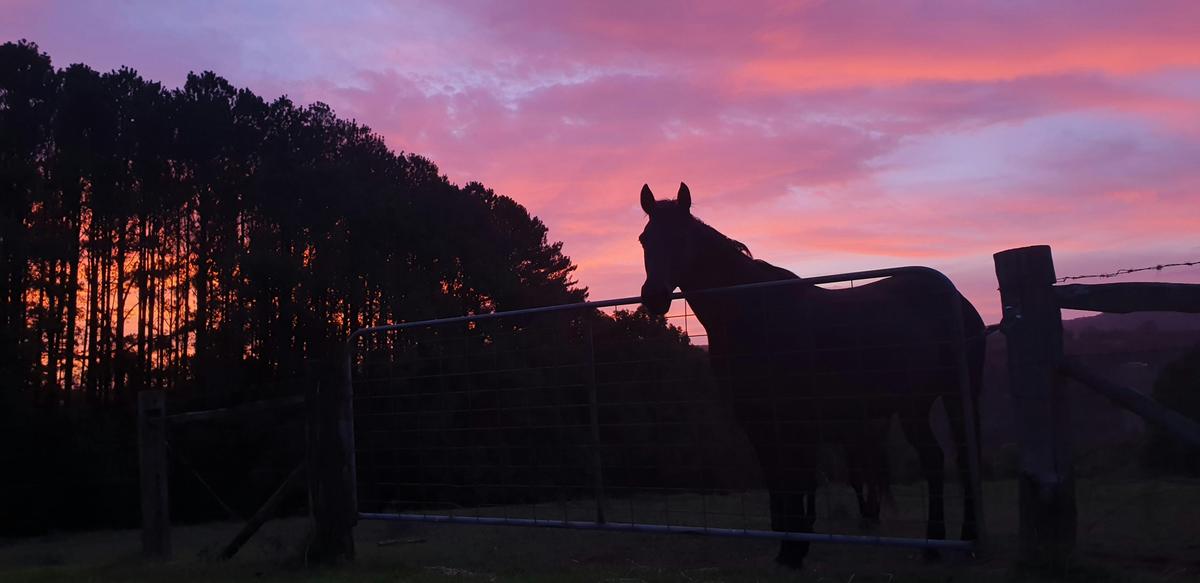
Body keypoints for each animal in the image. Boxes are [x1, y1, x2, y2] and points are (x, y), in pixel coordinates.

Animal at [637, 183, 985, 568]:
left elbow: (796, 479)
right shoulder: (754, 417)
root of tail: (958, 300)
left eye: (682, 237)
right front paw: (787, 548)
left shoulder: (794, 417)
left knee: (958, 458)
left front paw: (797, 547)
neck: (754, 313)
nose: (654, 297)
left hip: (953, 396)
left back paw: (954, 542)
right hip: (915, 406)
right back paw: (940, 544)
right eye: (644, 239)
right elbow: (777, 478)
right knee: (936, 459)